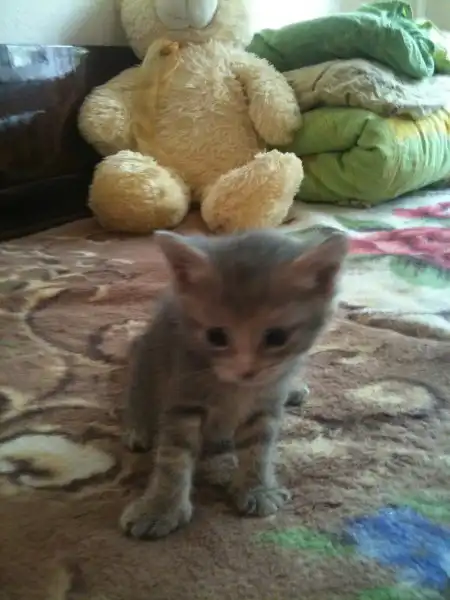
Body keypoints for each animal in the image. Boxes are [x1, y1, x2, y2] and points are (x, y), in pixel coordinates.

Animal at [120, 227, 348, 540]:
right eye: (216, 336)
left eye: (277, 337)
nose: (246, 371)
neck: (236, 389)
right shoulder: (183, 393)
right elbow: (173, 456)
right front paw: (160, 508)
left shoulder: (266, 401)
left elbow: (259, 447)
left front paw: (257, 488)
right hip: (147, 356)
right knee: (138, 391)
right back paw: (139, 429)